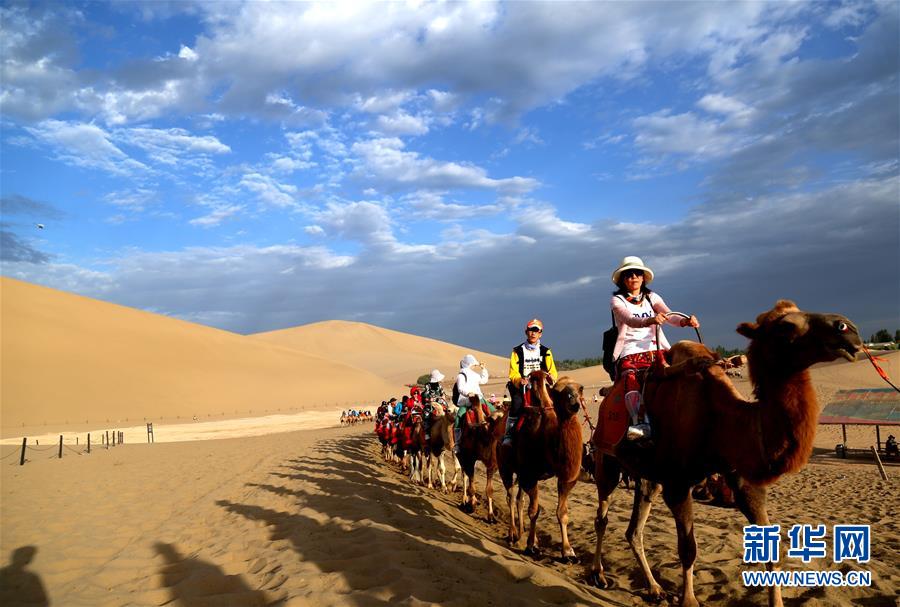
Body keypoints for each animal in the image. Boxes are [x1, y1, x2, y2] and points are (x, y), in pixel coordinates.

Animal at [458, 394, 506, 524]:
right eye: (494, 420)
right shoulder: (468, 458)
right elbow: (471, 485)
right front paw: (471, 505)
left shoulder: (492, 465)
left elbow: (489, 490)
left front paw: (491, 516)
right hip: (462, 456)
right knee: (464, 475)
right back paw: (465, 500)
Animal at [500, 372, 584, 564]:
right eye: (560, 392)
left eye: (580, 388)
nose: (574, 404)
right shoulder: (530, 475)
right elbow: (534, 511)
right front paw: (532, 546)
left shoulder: (566, 478)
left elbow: (562, 512)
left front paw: (568, 552)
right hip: (505, 467)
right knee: (510, 497)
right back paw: (512, 534)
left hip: (521, 473)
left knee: (519, 499)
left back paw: (521, 533)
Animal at [588, 300, 860, 607]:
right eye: (786, 326)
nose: (847, 327)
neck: (720, 419)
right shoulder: (678, 484)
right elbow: (688, 549)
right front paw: (689, 600)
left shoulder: (740, 477)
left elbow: (771, 550)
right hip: (606, 461)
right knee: (602, 516)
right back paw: (598, 574)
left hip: (648, 476)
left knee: (634, 529)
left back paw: (655, 588)